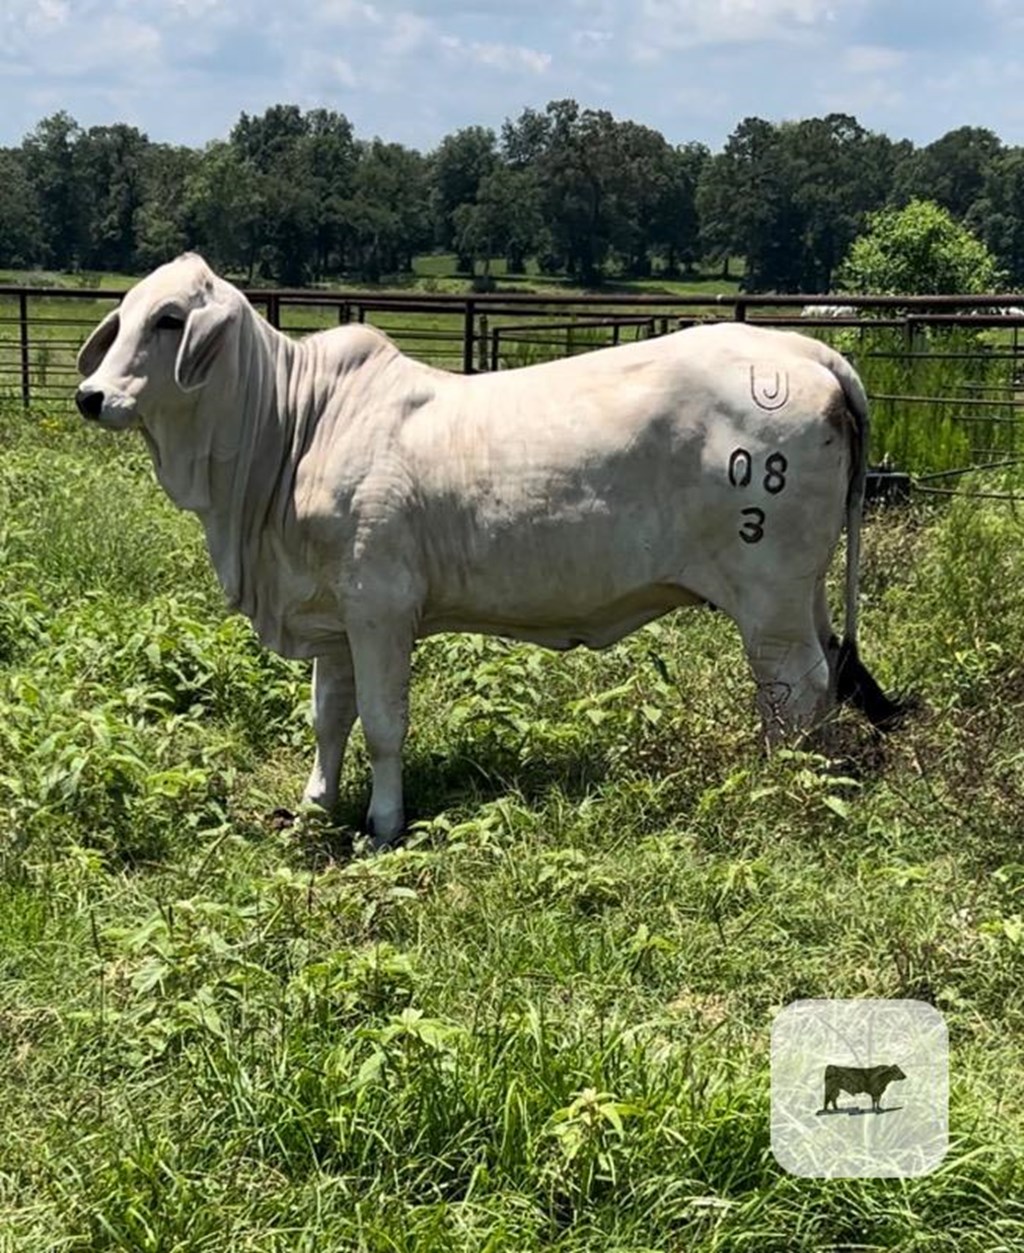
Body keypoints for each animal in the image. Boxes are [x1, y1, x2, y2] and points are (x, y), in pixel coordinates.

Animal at [75, 250, 897, 847]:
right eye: (122, 319)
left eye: (169, 319)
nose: (90, 396)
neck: (292, 426)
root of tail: (806, 349)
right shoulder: (332, 618)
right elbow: (329, 718)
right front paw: (314, 806)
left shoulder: (380, 609)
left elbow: (382, 724)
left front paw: (383, 824)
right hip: (801, 591)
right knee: (825, 673)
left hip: (768, 599)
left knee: (795, 688)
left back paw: (781, 787)